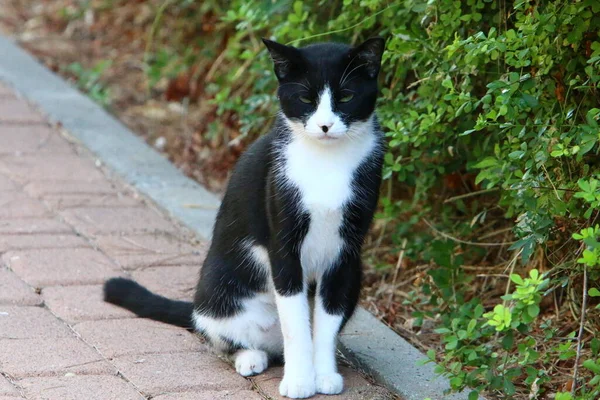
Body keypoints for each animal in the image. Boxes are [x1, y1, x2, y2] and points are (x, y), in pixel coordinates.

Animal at [103, 36, 384, 398]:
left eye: (346, 96)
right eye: (306, 98)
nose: (325, 125)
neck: (327, 162)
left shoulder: (346, 251)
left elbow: (327, 319)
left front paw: (323, 375)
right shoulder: (283, 240)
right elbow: (296, 324)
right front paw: (299, 380)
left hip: (356, 273)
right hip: (217, 293)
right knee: (224, 336)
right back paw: (249, 358)